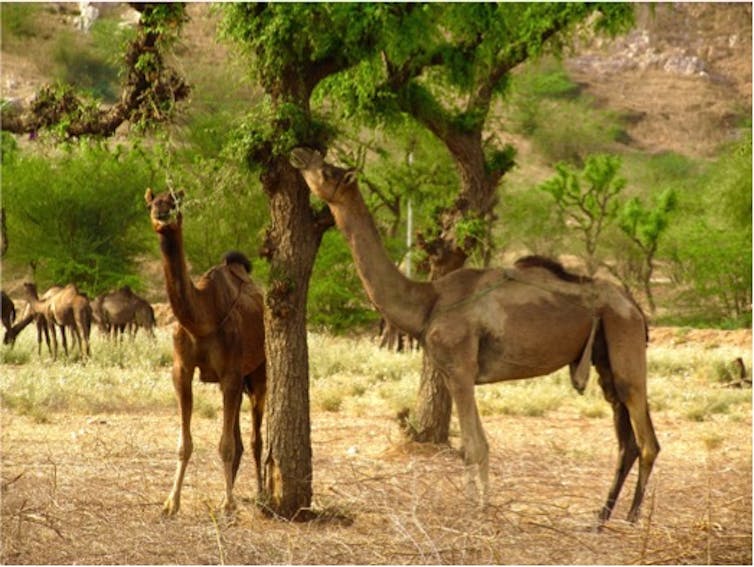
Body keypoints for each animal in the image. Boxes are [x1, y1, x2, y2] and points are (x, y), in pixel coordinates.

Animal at [145, 189, 268, 516]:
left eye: (174, 201)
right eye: (151, 203)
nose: (162, 213)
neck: (203, 318)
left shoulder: (231, 373)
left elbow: (225, 445)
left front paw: (227, 504)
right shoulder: (182, 370)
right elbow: (184, 444)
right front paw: (171, 503)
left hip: (259, 370)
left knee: (255, 438)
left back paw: (261, 496)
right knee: (239, 439)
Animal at [290, 148, 656, 528]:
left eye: (329, 171)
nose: (300, 154)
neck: (426, 303)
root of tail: (635, 307)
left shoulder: (461, 370)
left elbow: (474, 446)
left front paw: (476, 510)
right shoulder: (454, 373)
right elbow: (475, 445)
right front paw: (477, 505)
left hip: (624, 339)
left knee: (646, 437)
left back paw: (632, 518)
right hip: (605, 358)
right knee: (626, 439)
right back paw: (601, 517)